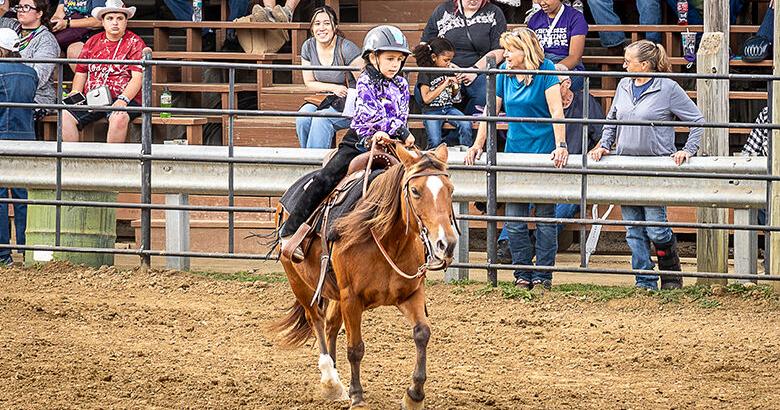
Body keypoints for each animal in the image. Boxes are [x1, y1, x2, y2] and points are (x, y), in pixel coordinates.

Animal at [272, 142, 458, 409]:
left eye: (450, 190)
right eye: (415, 190)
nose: (446, 244)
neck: (385, 237)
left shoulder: (411, 293)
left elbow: (422, 333)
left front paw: (414, 394)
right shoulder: (352, 298)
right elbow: (355, 348)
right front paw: (357, 396)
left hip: (334, 291)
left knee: (330, 324)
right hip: (300, 282)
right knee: (316, 320)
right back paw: (331, 380)